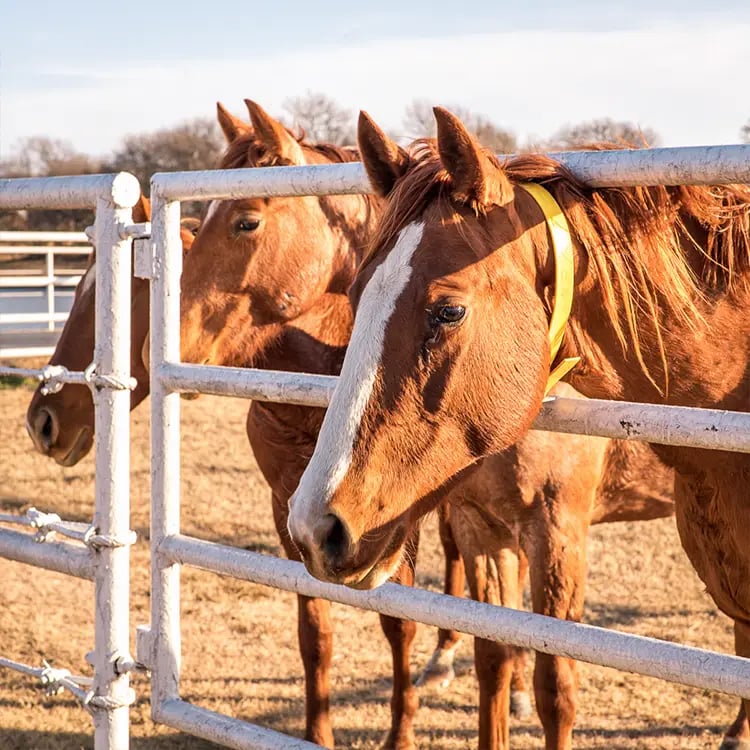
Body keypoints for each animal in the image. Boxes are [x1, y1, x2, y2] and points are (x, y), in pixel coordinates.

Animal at [287, 108, 750, 749]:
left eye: (449, 311)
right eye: (355, 296)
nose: (314, 528)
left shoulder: (557, 532)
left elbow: (556, 685)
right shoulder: (483, 529)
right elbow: (496, 659)